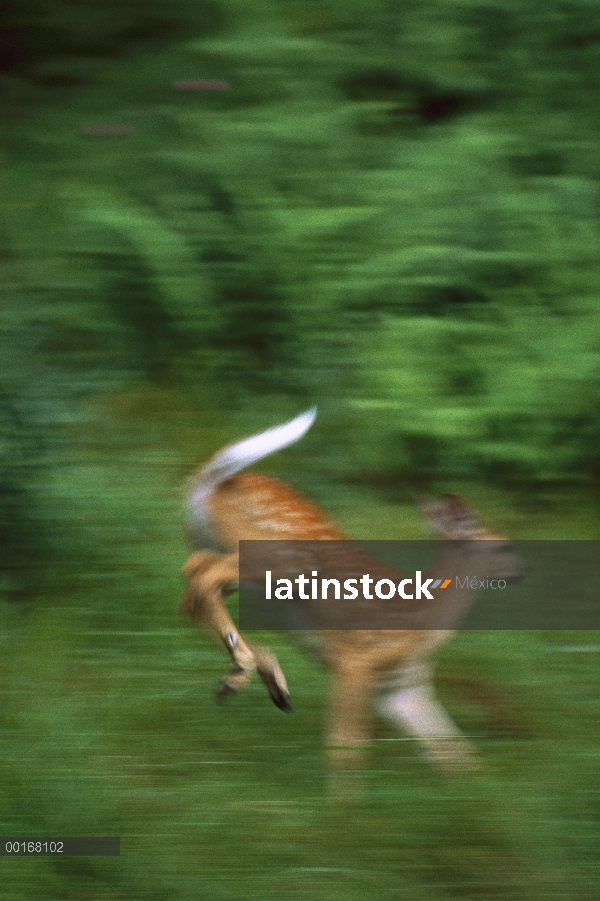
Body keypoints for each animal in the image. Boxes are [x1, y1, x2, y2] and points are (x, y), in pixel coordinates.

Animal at [182, 412, 524, 776]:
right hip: (264, 559)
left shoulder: (402, 688)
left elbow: (456, 751)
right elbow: (347, 745)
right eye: (504, 546)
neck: (421, 622)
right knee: (204, 577)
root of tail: (210, 482)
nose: (523, 568)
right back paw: (244, 669)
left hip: (234, 561)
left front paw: (480, 786)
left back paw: (264, 681)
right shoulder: (355, 660)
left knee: (193, 580)